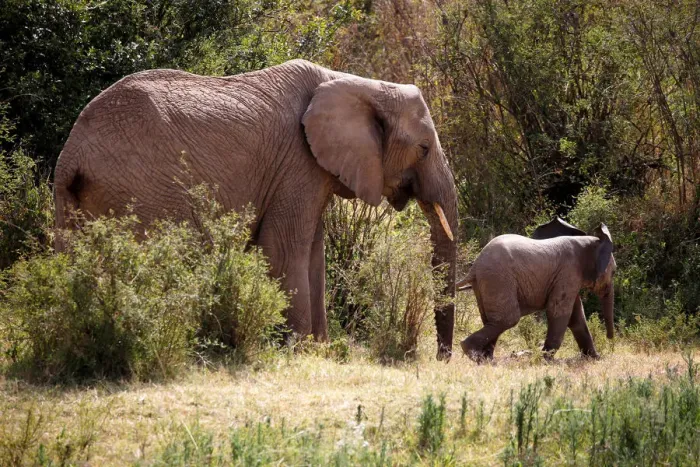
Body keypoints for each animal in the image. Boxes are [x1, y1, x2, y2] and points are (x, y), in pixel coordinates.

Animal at [53, 59, 459, 359]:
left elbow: (314, 255)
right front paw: (298, 350)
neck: (358, 83)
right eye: (423, 149)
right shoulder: (297, 162)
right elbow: (283, 249)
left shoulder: (312, 170)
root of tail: (72, 154)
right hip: (141, 189)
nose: (442, 357)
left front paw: (321, 348)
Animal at [455, 218, 615, 361]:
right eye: (613, 272)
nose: (610, 339)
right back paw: (471, 353)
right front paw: (545, 360)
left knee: (491, 320)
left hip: (484, 283)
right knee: (508, 318)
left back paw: (484, 359)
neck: (588, 242)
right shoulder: (568, 273)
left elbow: (576, 317)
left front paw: (595, 358)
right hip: (498, 279)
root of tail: (475, 266)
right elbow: (558, 312)